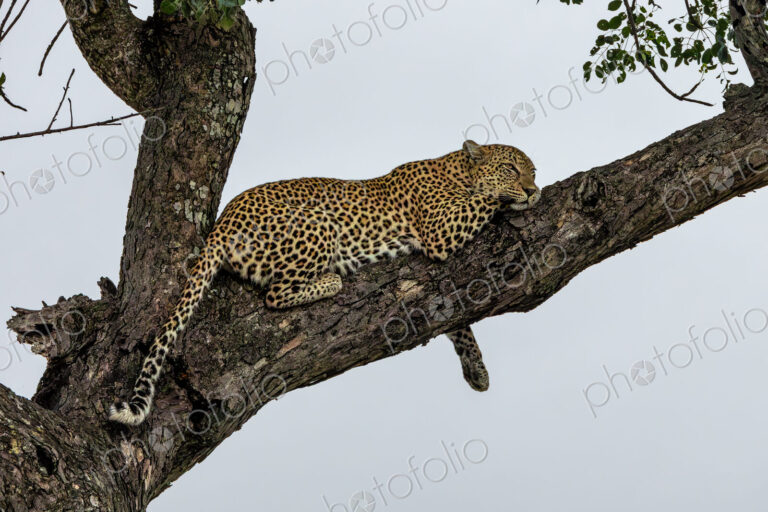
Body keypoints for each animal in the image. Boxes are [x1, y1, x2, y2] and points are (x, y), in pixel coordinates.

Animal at [109, 140, 540, 425]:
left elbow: (458, 320)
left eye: (532, 170)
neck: (456, 169)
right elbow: (488, 200)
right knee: (275, 294)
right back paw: (331, 280)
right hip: (317, 221)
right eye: (511, 169)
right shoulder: (441, 229)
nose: (534, 189)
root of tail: (221, 225)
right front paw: (515, 198)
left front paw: (476, 369)